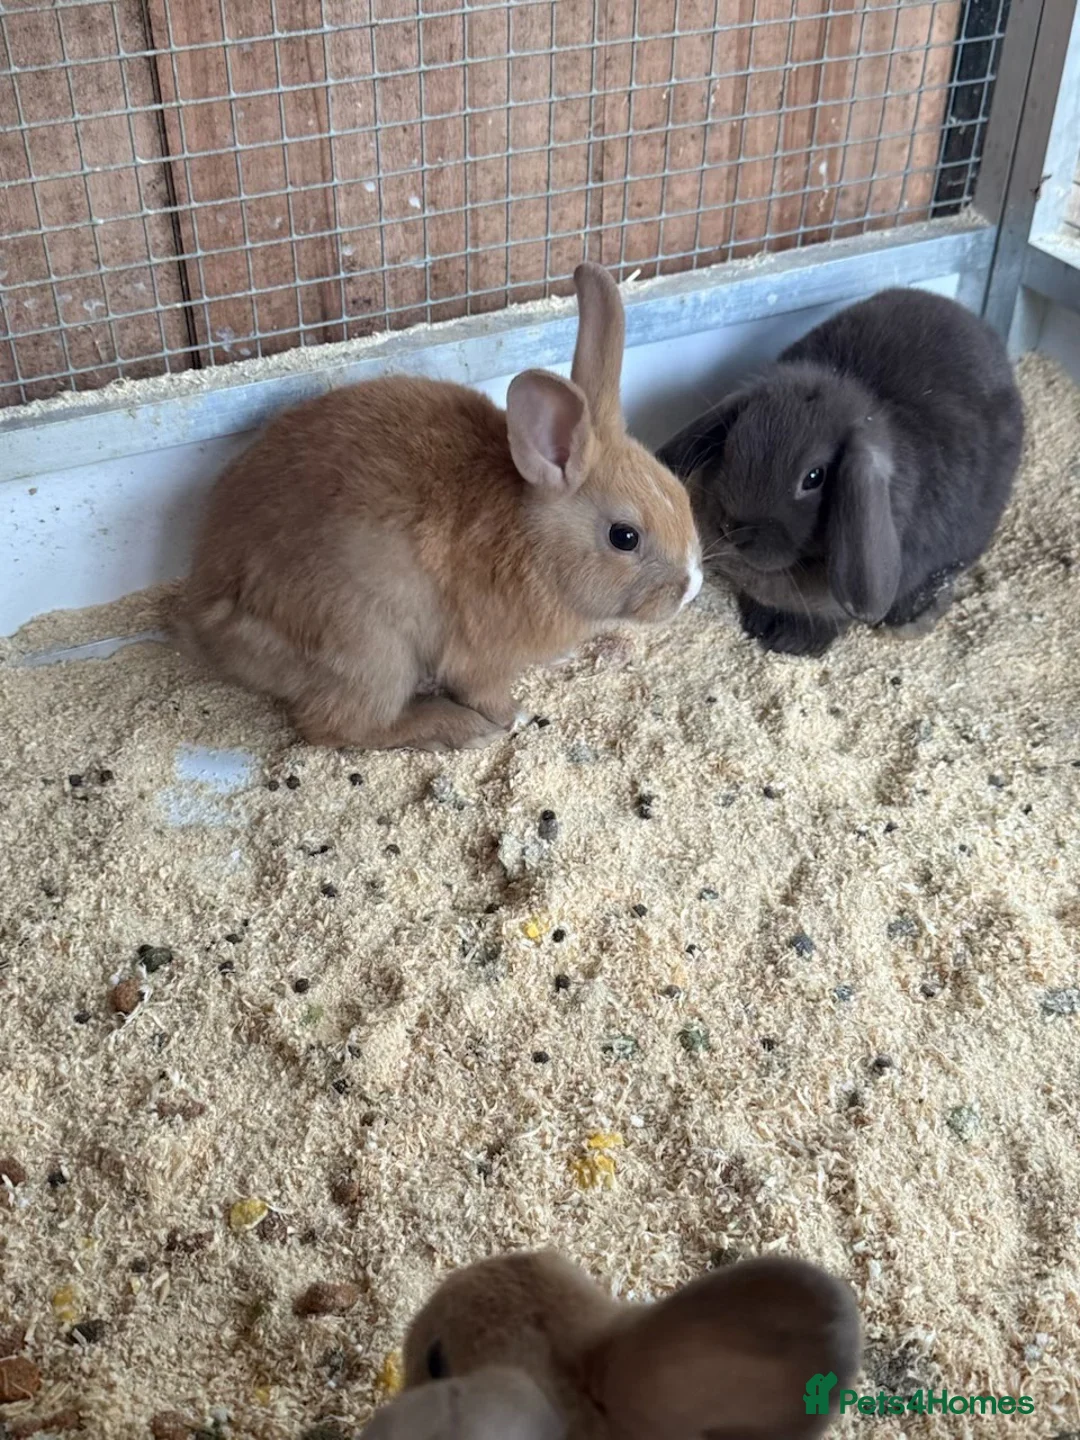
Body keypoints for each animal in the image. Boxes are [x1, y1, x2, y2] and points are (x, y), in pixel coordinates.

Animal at [176, 264, 702, 751]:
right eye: (624, 537)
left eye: (680, 493)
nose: (692, 587)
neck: (534, 544)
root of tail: (208, 619)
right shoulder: (480, 656)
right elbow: (483, 690)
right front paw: (513, 716)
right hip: (373, 651)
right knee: (339, 725)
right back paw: (455, 728)